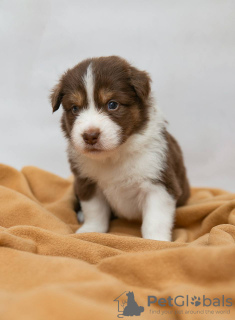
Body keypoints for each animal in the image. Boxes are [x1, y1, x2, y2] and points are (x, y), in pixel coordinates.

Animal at [50, 55, 190, 240]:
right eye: (75, 108)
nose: (90, 136)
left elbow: (155, 219)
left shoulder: (159, 183)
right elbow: (94, 210)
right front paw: (91, 230)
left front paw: (156, 240)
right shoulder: (87, 182)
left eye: (112, 104)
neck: (114, 155)